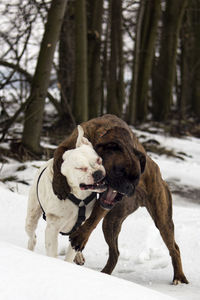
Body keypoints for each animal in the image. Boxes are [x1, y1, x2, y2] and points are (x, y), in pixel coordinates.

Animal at [25, 126, 106, 262]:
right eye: (81, 168)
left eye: (99, 160)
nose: (98, 173)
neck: (78, 196)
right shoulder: (52, 228)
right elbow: (52, 253)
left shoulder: (79, 231)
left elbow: (71, 252)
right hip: (31, 217)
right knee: (32, 236)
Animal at [52, 113, 188, 284]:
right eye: (119, 171)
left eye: (136, 178)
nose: (129, 187)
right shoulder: (65, 147)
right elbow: (58, 160)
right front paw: (59, 184)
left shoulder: (103, 204)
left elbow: (92, 220)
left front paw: (81, 237)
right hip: (112, 222)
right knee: (115, 253)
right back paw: (103, 274)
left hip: (162, 221)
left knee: (174, 248)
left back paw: (179, 277)